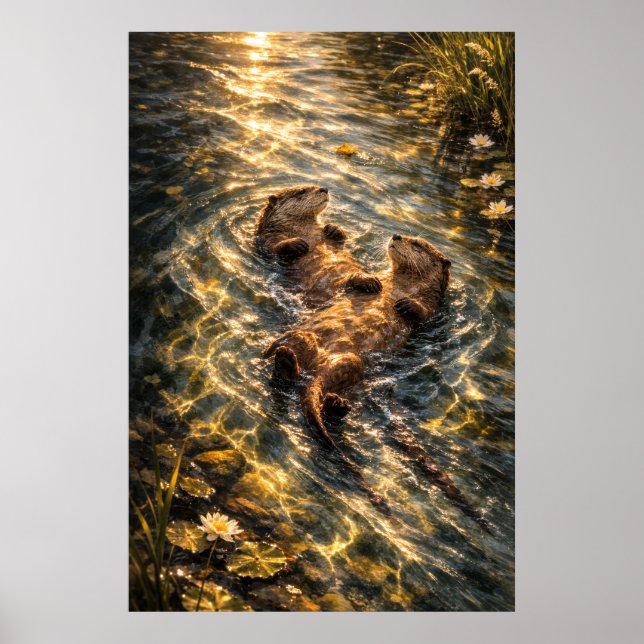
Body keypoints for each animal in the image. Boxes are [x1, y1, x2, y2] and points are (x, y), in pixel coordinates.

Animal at [264, 234, 489, 529]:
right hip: (308, 341)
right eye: (406, 235)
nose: (397, 235)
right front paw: (368, 282)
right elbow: (352, 282)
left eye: (417, 244)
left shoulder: (434, 309)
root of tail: (314, 370)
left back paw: (328, 397)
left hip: (350, 363)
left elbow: (425, 313)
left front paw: (408, 306)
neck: (401, 286)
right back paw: (286, 358)